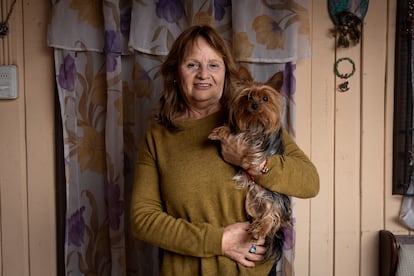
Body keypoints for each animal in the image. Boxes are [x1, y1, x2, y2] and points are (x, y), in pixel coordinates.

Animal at [210, 67, 292, 264]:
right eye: (247, 97)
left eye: (265, 99)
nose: (254, 106)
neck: (255, 124)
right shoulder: (242, 130)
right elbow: (233, 131)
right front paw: (218, 132)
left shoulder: (263, 144)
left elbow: (255, 152)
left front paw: (248, 159)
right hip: (251, 202)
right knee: (261, 217)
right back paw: (255, 227)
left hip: (276, 199)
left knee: (272, 217)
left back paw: (259, 230)